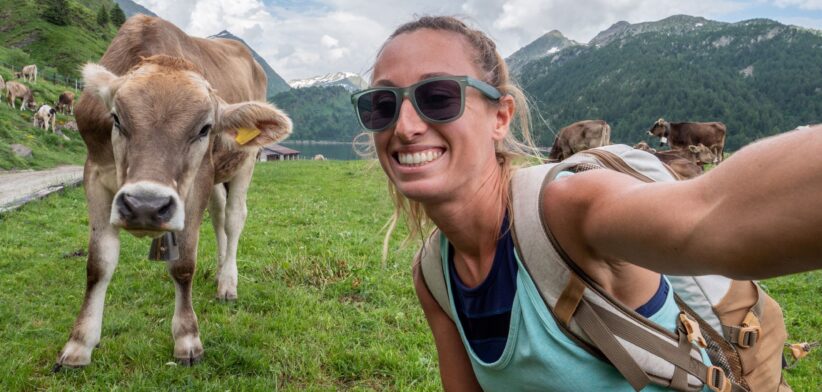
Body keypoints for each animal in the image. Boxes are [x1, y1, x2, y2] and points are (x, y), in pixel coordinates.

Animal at [54, 16, 294, 370]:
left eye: (205, 128)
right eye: (116, 119)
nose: (145, 205)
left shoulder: (197, 182)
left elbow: (183, 264)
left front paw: (187, 338)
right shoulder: (95, 174)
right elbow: (99, 263)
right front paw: (79, 343)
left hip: (245, 161)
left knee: (234, 218)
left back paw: (228, 282)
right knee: (219, 217)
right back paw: (219, 272)